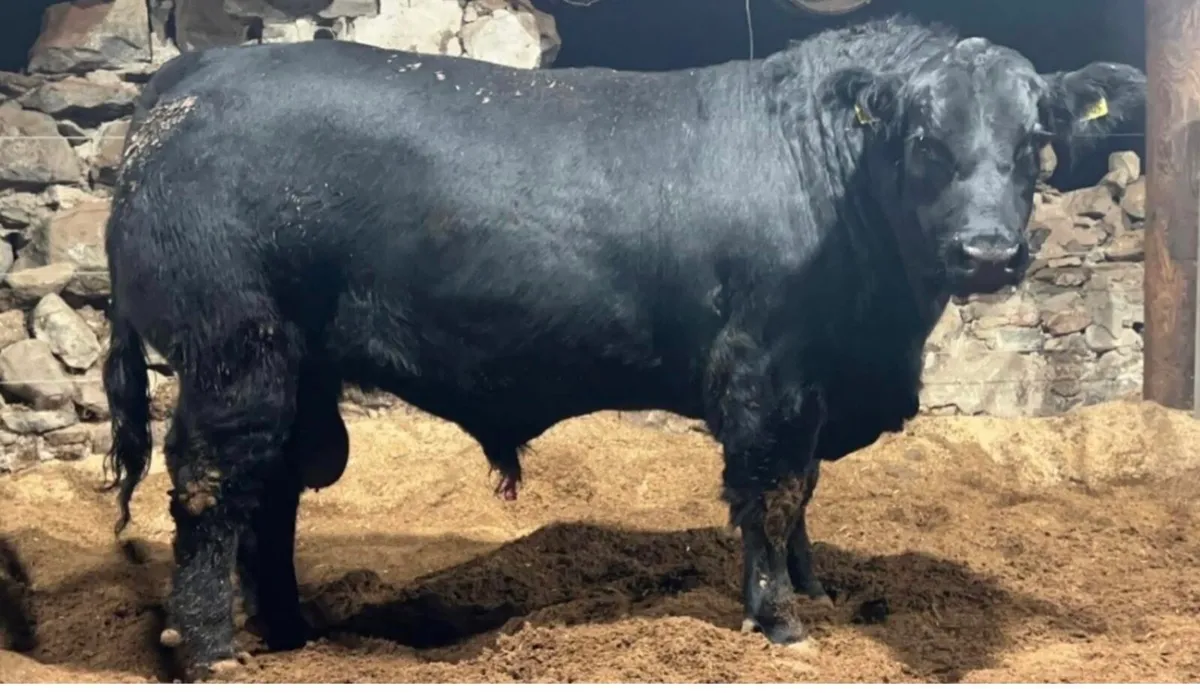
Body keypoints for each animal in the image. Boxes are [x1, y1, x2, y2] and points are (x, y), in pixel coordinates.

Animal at [100, 14, 1145, 680]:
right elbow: (770, 493)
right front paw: (780, 620)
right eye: (924, 138)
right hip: (236, 348)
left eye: (1035, 139)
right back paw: (213, 647)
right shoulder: (764, 372)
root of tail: (193, 80)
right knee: (210, 485)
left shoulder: (813, 384)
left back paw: (290, 632)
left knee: (271, 492)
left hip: (294, 367)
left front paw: (821, 593)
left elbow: (805, 492)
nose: (987, 252)